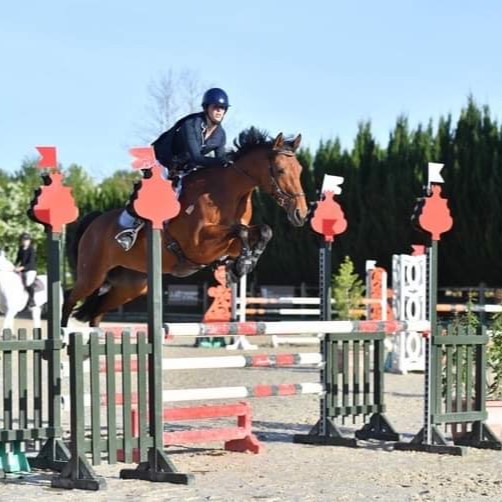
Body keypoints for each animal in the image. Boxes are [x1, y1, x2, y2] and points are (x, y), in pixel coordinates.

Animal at [60, 127, 308, 328]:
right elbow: (241, 230)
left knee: (97, 311)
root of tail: (94, 223)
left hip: (130, 285)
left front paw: (243, 263)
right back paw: (61, 339)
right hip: (92, 274)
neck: (228, 192)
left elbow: (263, 231)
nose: (301, 214)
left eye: (300, 170)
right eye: (280, 170)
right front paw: (241, 265)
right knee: (69, 297)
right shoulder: (198, 245)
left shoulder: (229, 244)